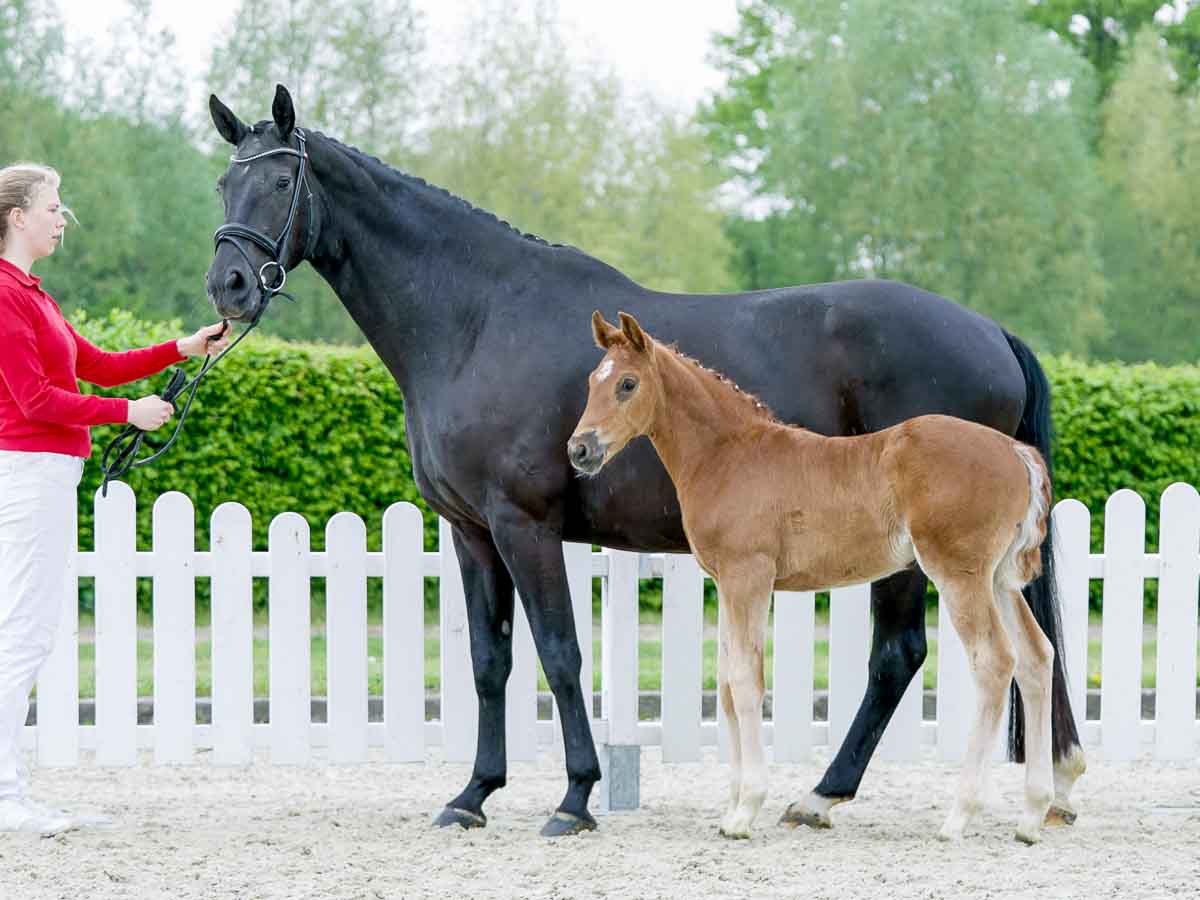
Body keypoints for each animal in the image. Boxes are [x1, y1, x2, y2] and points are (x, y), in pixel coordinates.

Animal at [571, 311, 1071, 843]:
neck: (730, 455)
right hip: (1000, 580)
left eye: (627, 384)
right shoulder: (726, 582)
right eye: (592, 382)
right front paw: (731, 809)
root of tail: (1017, 453)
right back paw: (1032, 814)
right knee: (1037, 656)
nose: (579, 449)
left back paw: (958, 815)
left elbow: (746, 681)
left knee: (994, 661)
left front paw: (746, 810)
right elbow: (725, 686)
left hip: (960, 574)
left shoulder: (749, 575)